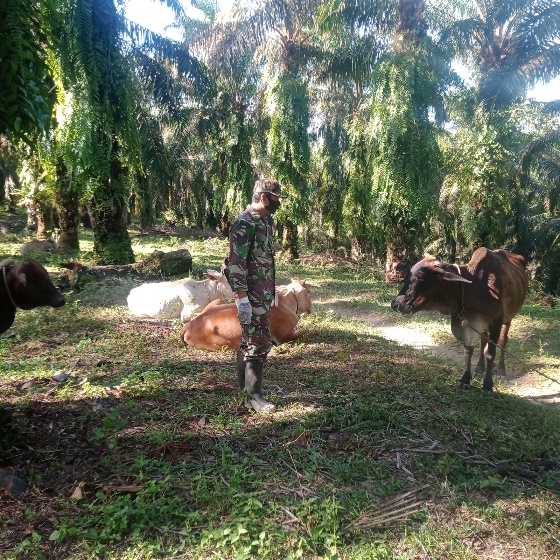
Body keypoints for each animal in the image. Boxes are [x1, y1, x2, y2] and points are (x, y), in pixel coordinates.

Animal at [180, 278, 312, 352]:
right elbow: (305, 331)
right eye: (309, 291)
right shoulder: (284, 336)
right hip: (228, 344)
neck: (285, 301)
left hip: (218, 301)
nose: (312, 307)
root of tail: (189, 325)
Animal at [392, 247, 528, 396]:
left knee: (503, 341)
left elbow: (490, 353)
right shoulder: (468, 323)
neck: (474, 287)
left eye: (421, 277)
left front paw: (487, 386)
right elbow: (468, 350)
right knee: (483, 340)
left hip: (508, 319)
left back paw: (501, 372)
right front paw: (465, 379)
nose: (396, 304)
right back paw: (479, 369)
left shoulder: (495, 323)